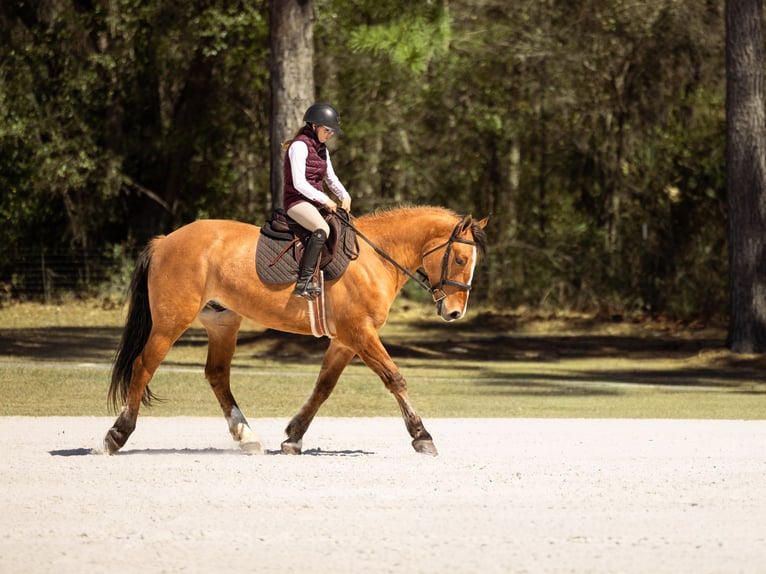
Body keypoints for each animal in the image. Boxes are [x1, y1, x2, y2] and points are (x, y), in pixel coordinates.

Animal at [104, 206, 488, 456]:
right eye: (460, 260)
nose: (454, 312)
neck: (375, 259)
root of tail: (165, 239)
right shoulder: (360, 333)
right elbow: (395, 378)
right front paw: (422, 435)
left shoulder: (346, 340)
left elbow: (323, 386)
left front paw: (293, 437)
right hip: (171, 321)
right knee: (143, 366)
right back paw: (117, 435)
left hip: (222, 322)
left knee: (217, 374)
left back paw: (247, 437)